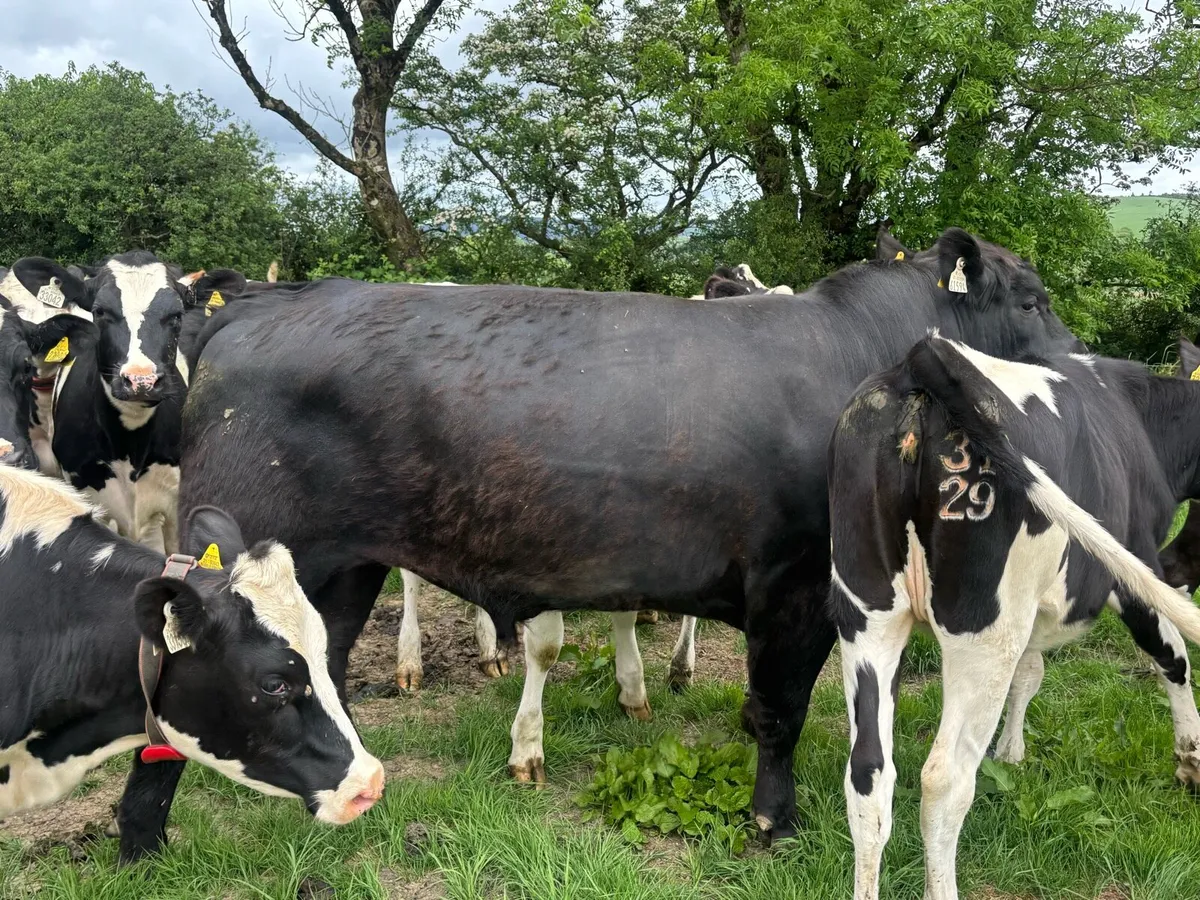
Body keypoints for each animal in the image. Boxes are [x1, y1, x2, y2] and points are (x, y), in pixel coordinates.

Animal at [132, 226, 1082, 848]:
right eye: (1032, 297)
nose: (1079, 361)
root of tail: (260, 305)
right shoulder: (801, 585)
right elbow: (780, 710)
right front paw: (773, 820)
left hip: (338, 572)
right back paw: (145, 843)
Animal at [828, 333, 1200, 900]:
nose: (1180, 564)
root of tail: (926, 354)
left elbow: (1031, 671)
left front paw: (1010, 751)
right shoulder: (1131, 572)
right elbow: (1173, 657)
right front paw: (1191, 759)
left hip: (868, 615)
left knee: (869, 775)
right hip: (983, 632)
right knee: (944, 780)